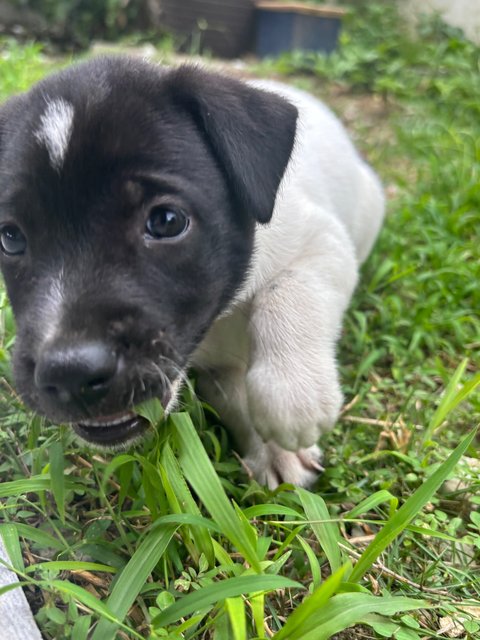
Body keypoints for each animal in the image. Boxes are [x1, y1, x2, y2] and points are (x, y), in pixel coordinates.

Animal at [0, 56, 382, 484]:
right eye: (10, 238)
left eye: (167, 221)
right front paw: (271, 450)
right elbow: (234, 398)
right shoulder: (216, 372)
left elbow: (290, 293)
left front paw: (292, 395)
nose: (69, 372)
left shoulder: (323, 243)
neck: (221, 319)